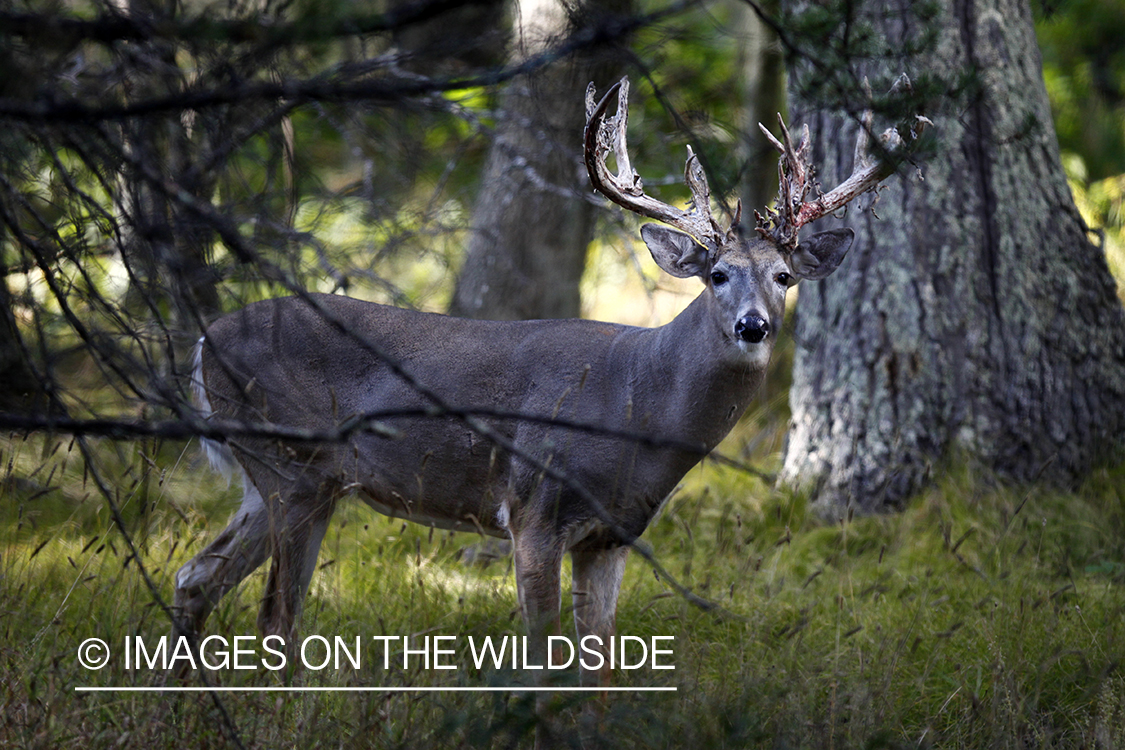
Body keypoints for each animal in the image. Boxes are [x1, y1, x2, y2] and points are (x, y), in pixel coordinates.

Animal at [173, 74, 922, 719]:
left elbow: (601, 667)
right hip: (290, 466)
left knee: (195, 578)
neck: (636, 407)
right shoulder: (533, 509)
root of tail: (204, 342)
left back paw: (183, 703)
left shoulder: (612, 535)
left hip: (291, 480)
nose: (753, 326)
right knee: (275, 616)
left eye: (784, 276)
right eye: (716, 274)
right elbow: (542, 658)